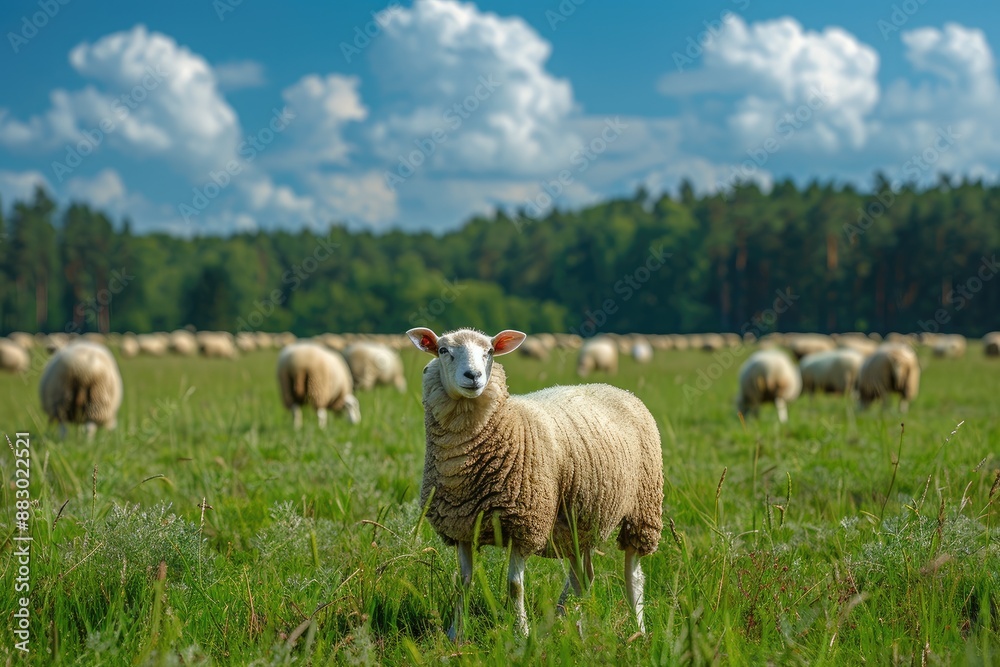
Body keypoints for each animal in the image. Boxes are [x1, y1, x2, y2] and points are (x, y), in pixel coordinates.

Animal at [407, 327, 663, 639]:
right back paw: (570, 621)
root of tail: (615, 388)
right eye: (443, 350)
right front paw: (455, 634)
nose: (474, 376)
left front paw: (522, 634)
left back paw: (638, 629)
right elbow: (463, 583)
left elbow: (514, 586)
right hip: (581, 518)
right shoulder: (461, 528)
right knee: (583, 576)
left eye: (489, 352)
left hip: (643, 507)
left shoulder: (524, 524)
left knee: (633, 575)